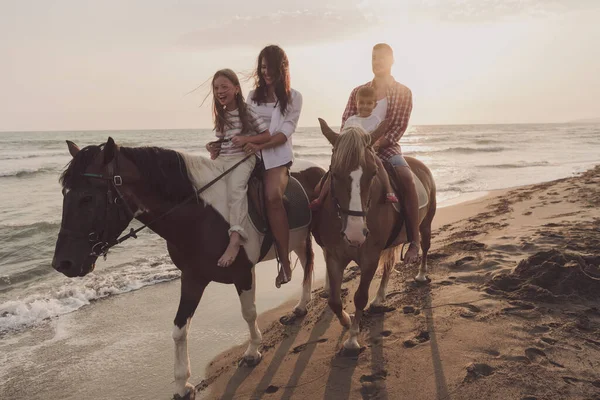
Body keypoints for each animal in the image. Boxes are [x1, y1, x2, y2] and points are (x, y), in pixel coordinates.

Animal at [51, 138, 324, 400]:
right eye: (64, 194)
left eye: (87, 198)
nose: (62, 264)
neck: (199, 218)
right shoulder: (193, 277)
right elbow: (179, 329)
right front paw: (182, 385)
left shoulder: (244, 273)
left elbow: (249, 313)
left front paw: (252, 352)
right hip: (297, 240)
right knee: (308, 261)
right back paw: (301, 307)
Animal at [314, 120, 436, 352]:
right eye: (334, 173)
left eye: (372, 173)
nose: (355, 233)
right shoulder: (334, 257)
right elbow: (334, 300)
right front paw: (346, 320)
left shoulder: (369, 257)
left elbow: (360, 297)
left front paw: (352, 339)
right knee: (388, 267)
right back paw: (379, 299)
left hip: (425, 224)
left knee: (425, 247)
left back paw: (421, 274)